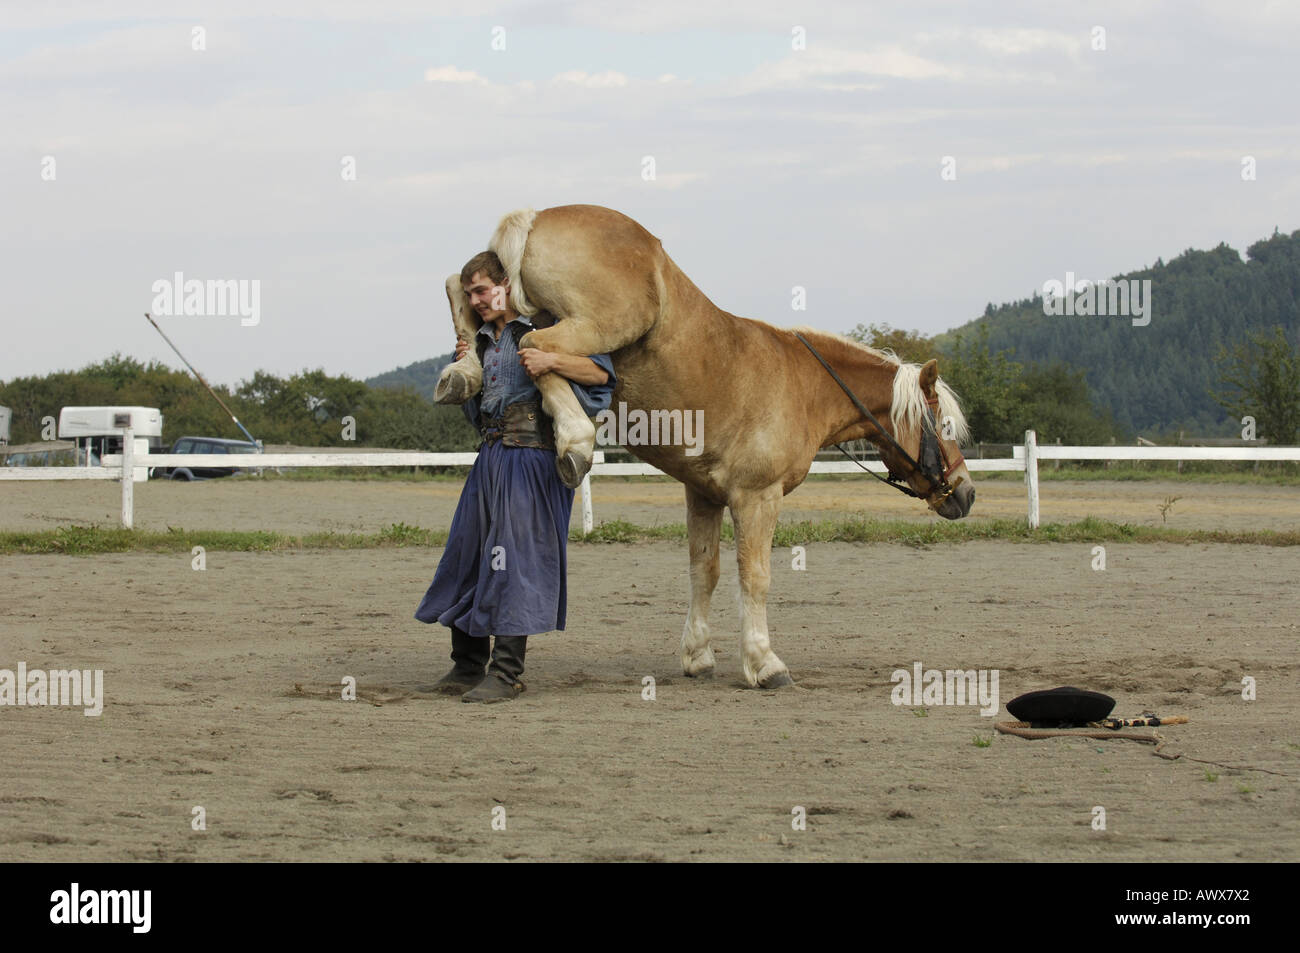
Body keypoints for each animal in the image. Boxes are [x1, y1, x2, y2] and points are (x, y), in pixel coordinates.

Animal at [436, 204, 977, 686]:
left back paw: (463, 372)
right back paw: (575, 440)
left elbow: (705, 571)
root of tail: (536, 216)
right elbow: (754, 576)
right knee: (533, 347)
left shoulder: (704, 494)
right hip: (591, 327)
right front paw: (764, 663)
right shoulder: (757, 497)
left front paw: (697, 655)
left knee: (462, 289)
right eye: (946, 427)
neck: (805, 385)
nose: (967, 493)